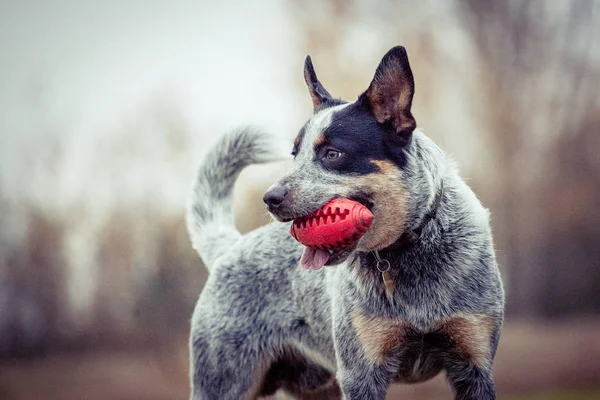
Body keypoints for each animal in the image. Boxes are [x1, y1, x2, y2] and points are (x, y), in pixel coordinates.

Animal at [186, 45, 502, 398]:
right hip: (222, 379)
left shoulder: (473, 364)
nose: (270, 198)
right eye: (294, 154)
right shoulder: (360, 373)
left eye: (332, 154)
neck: (409, 250)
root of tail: (232, 246)